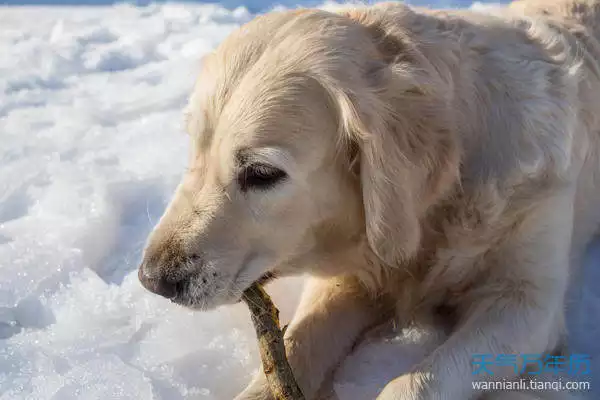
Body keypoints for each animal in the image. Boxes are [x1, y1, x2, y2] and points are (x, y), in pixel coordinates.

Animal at [138, 0, 600, 398]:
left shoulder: (526, 303)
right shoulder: (350, 278)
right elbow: (301, 340)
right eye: (194, 149)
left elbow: (418, 381)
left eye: (261, 174)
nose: (152, 279)